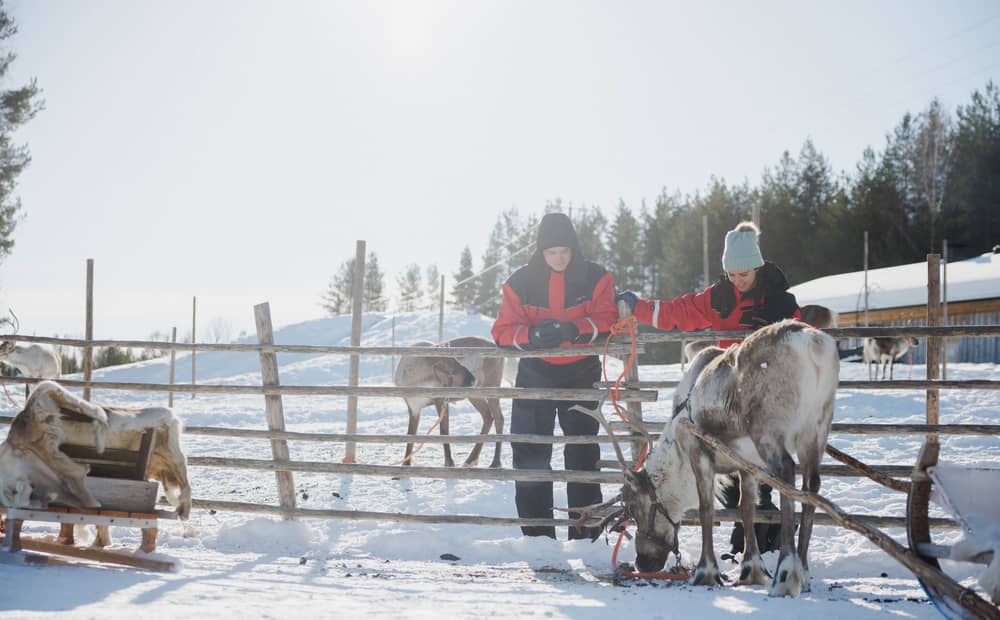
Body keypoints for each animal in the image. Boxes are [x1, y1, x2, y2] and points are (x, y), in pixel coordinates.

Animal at [392, 335, 510, 468]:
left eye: (457, 361)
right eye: (450, 371)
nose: (473, 380)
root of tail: (496, 347)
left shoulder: (441, 401)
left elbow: (444, 431)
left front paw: (449, 462)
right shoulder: (413, 407)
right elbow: (411, 435)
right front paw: (405, 464)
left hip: (491, 389)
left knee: (499, 419)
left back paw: (495, 462)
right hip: (475, 396)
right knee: (488, 417)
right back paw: (471, 460)